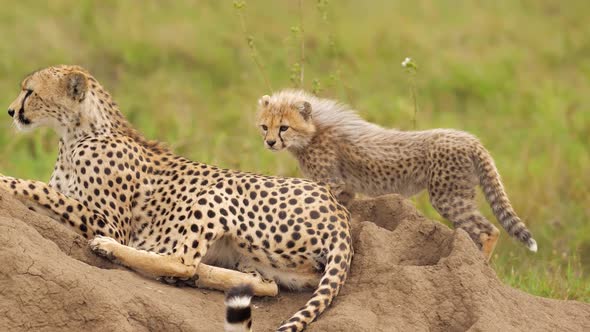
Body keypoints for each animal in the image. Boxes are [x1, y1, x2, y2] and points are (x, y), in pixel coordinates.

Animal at [2, 66, 354, 330]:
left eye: (29, 91)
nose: (11, 111)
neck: (78, 133)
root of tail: (340, 215)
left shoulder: (111, 224)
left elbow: (42, 190)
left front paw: (6, 182)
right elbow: (48, 191)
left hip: (218, 193)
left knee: (182, 262)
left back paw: (115, 251)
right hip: (259, 259)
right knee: (266, 284)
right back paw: (202, 276)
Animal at [256, 89, 540, 260]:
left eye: (284, 127)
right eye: (264, 126)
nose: (269, 142)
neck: (314, 131)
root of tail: (468, 138)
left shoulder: (331, 182)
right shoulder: (346, 187)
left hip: (447, 197)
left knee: (489, 230)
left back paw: (482, 261)